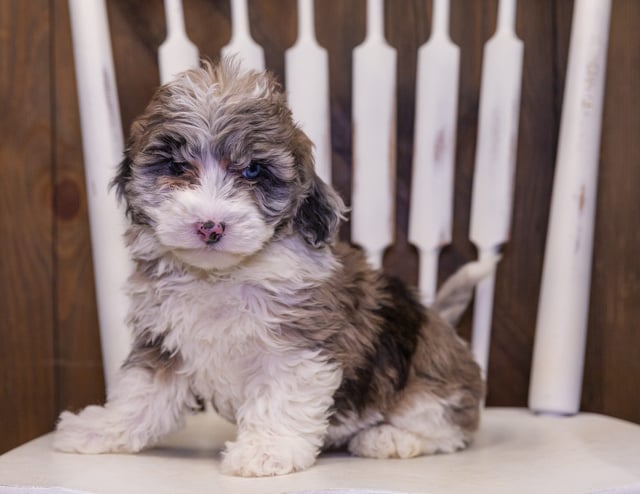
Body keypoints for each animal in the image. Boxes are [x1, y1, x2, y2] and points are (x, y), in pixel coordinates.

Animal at [55, 58, 482, 478]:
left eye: (253, 171)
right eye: (176, 166)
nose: (210, 226)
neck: (222, 277)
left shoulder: (298, 343)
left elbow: (281, 398)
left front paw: (267, 450)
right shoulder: (164, 340)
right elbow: (140, 391)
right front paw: (102, 428)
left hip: (427, 380)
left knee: (447, 426)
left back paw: (389, 438)